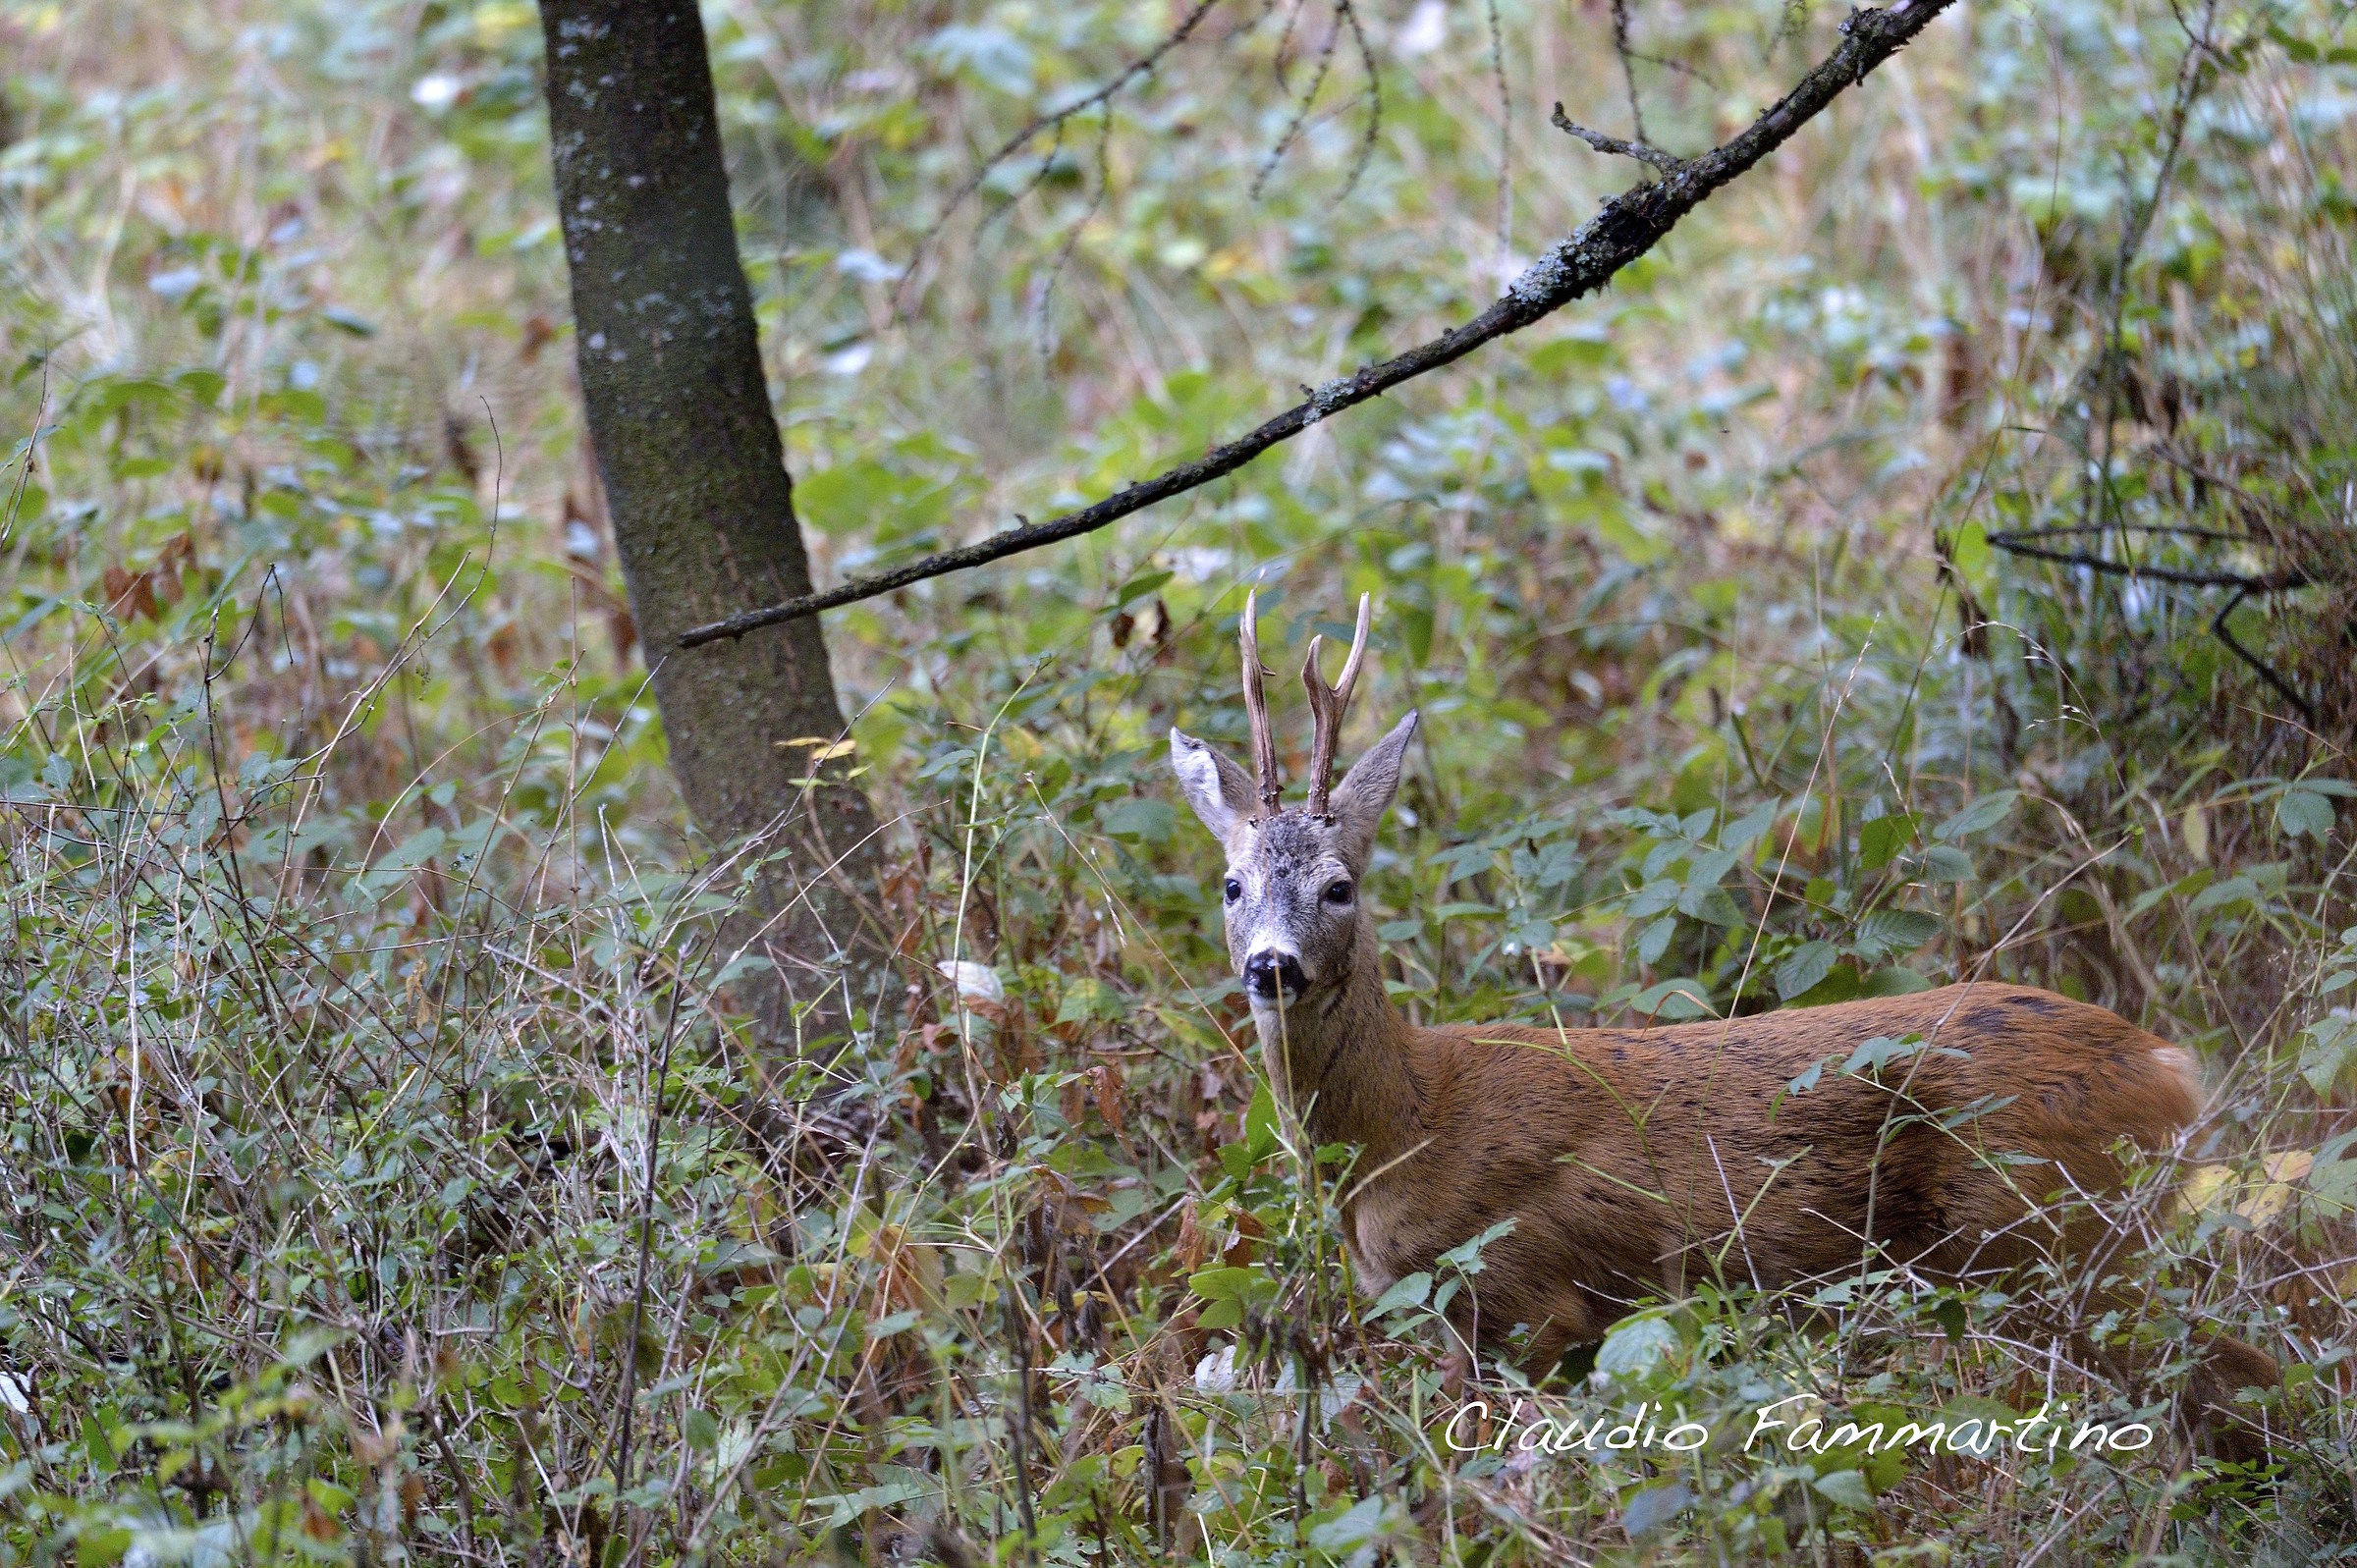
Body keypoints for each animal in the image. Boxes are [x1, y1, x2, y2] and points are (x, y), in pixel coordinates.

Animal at [1168, 593, 2282, 1463]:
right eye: (1230, 883)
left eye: (1340, 885)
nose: (1272, 965)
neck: (1408, 1125)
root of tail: (2170, 1065)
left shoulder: (1533, 1299)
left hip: (2055, 1233)